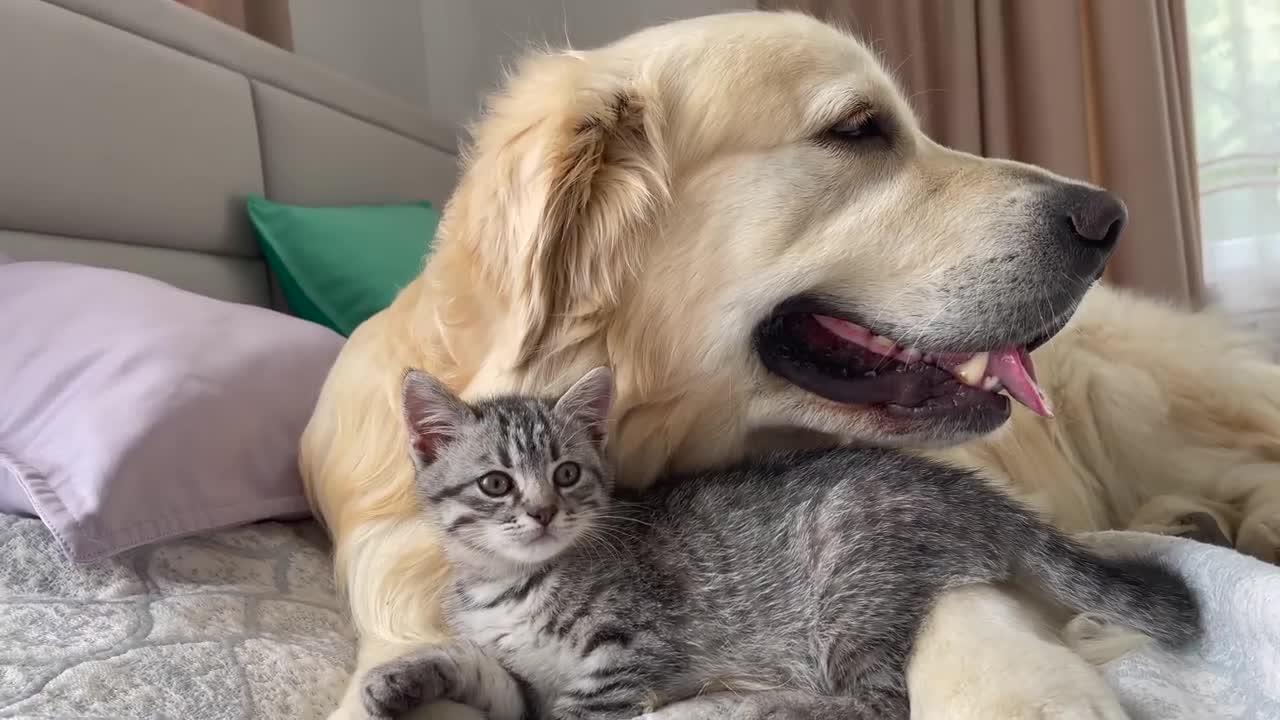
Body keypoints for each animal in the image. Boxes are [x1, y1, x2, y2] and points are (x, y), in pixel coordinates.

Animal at [366, 366, 1203, 712]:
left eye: (568, 473)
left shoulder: (632, 651)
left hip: (848, 585)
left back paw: (779, 706)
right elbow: (489, 679)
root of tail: (962, 489)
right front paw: (408, 679)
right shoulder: (523, 680)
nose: (542, 512)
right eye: (496, 484)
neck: (514, 586)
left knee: (879, 702)